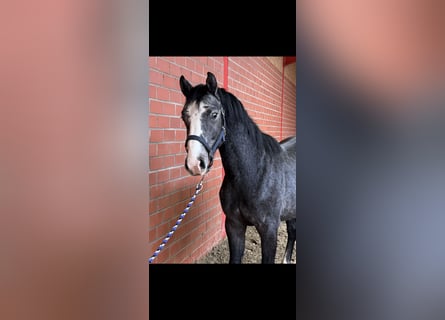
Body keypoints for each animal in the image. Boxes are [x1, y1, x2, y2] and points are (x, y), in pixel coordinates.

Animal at [177, 71, 294, 264]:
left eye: (214, 114)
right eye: (184, 116)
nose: (195, 164)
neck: (253, 173)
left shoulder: (269, 231)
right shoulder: (234, 225)